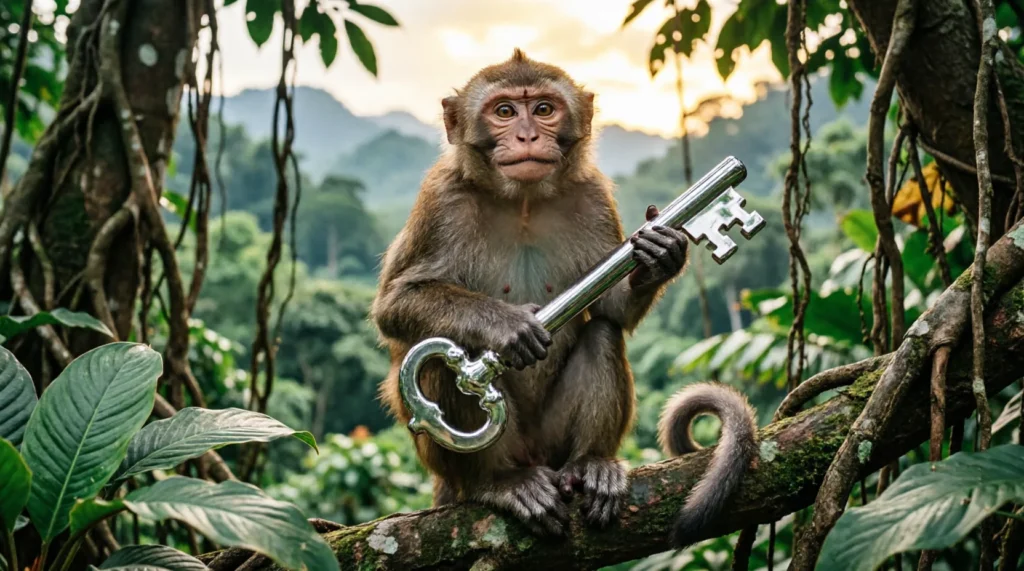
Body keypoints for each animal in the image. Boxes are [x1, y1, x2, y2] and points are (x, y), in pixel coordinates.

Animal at [370, 48, 757, 547]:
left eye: (543, 109)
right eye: (504, 111)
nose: (527, 135)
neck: (523, 200)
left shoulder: (592, 195)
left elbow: (612, 310)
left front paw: (660, 253)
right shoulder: (441, 199)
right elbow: (396, 305)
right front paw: (508, 327)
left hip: (552, 443)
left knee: (603, 335)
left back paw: (591, 465)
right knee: (442, 364)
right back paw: (498, 482)